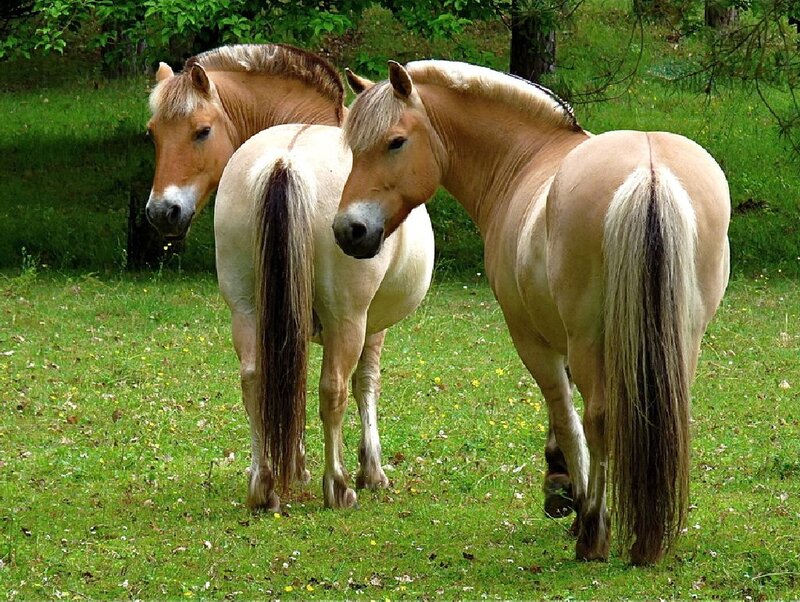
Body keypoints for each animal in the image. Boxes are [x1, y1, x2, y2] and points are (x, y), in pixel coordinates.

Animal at [145, 45, 435, 510]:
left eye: (201, 131)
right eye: (154, 134)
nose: (161, 212)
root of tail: (286, 160)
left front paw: (294, 467)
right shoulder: (370, 325)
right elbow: (364, 383)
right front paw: (371, 470)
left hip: (247, 311)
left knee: (255, 379)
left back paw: (263, 484)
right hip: (346, 319)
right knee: (333, 389)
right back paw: (338, 486)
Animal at [333, 60, 730, 564]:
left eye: (395, 142)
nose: (349, 230)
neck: (526, 158)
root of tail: (650, 172)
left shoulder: (532, 341)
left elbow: (567, 416)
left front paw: (576, 501)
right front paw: (561, 483)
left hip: (592, 341)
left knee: (599, 419)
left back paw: (594, 534)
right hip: (681, 340)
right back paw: (647, 539)